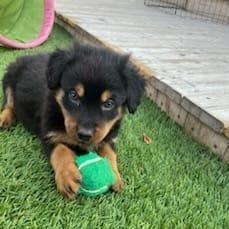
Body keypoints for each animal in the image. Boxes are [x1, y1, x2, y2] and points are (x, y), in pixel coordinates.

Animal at [0, 44, 145, 199]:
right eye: (73, 95)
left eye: (109, 103)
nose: (84, 135)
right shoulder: (49, 133)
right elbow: (60, 150)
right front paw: (67, 176)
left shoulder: (108, 137)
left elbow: (110, 152)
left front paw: (115, 175)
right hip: (9, 75)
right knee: (8, 103)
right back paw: (5, 118)